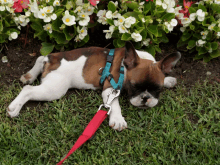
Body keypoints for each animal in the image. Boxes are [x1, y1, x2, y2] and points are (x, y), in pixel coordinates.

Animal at [7, 42, 181, 131]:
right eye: (134, 87)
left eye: (157, 90)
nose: (145, 98)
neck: (124, 67)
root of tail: (52, 61)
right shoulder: (110, 88)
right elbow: (115, 104)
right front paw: (118, 119)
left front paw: (169, 79)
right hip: (55, 89)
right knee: (28, 90)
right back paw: (15, 107)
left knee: (39, 58)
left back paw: (29, 75)